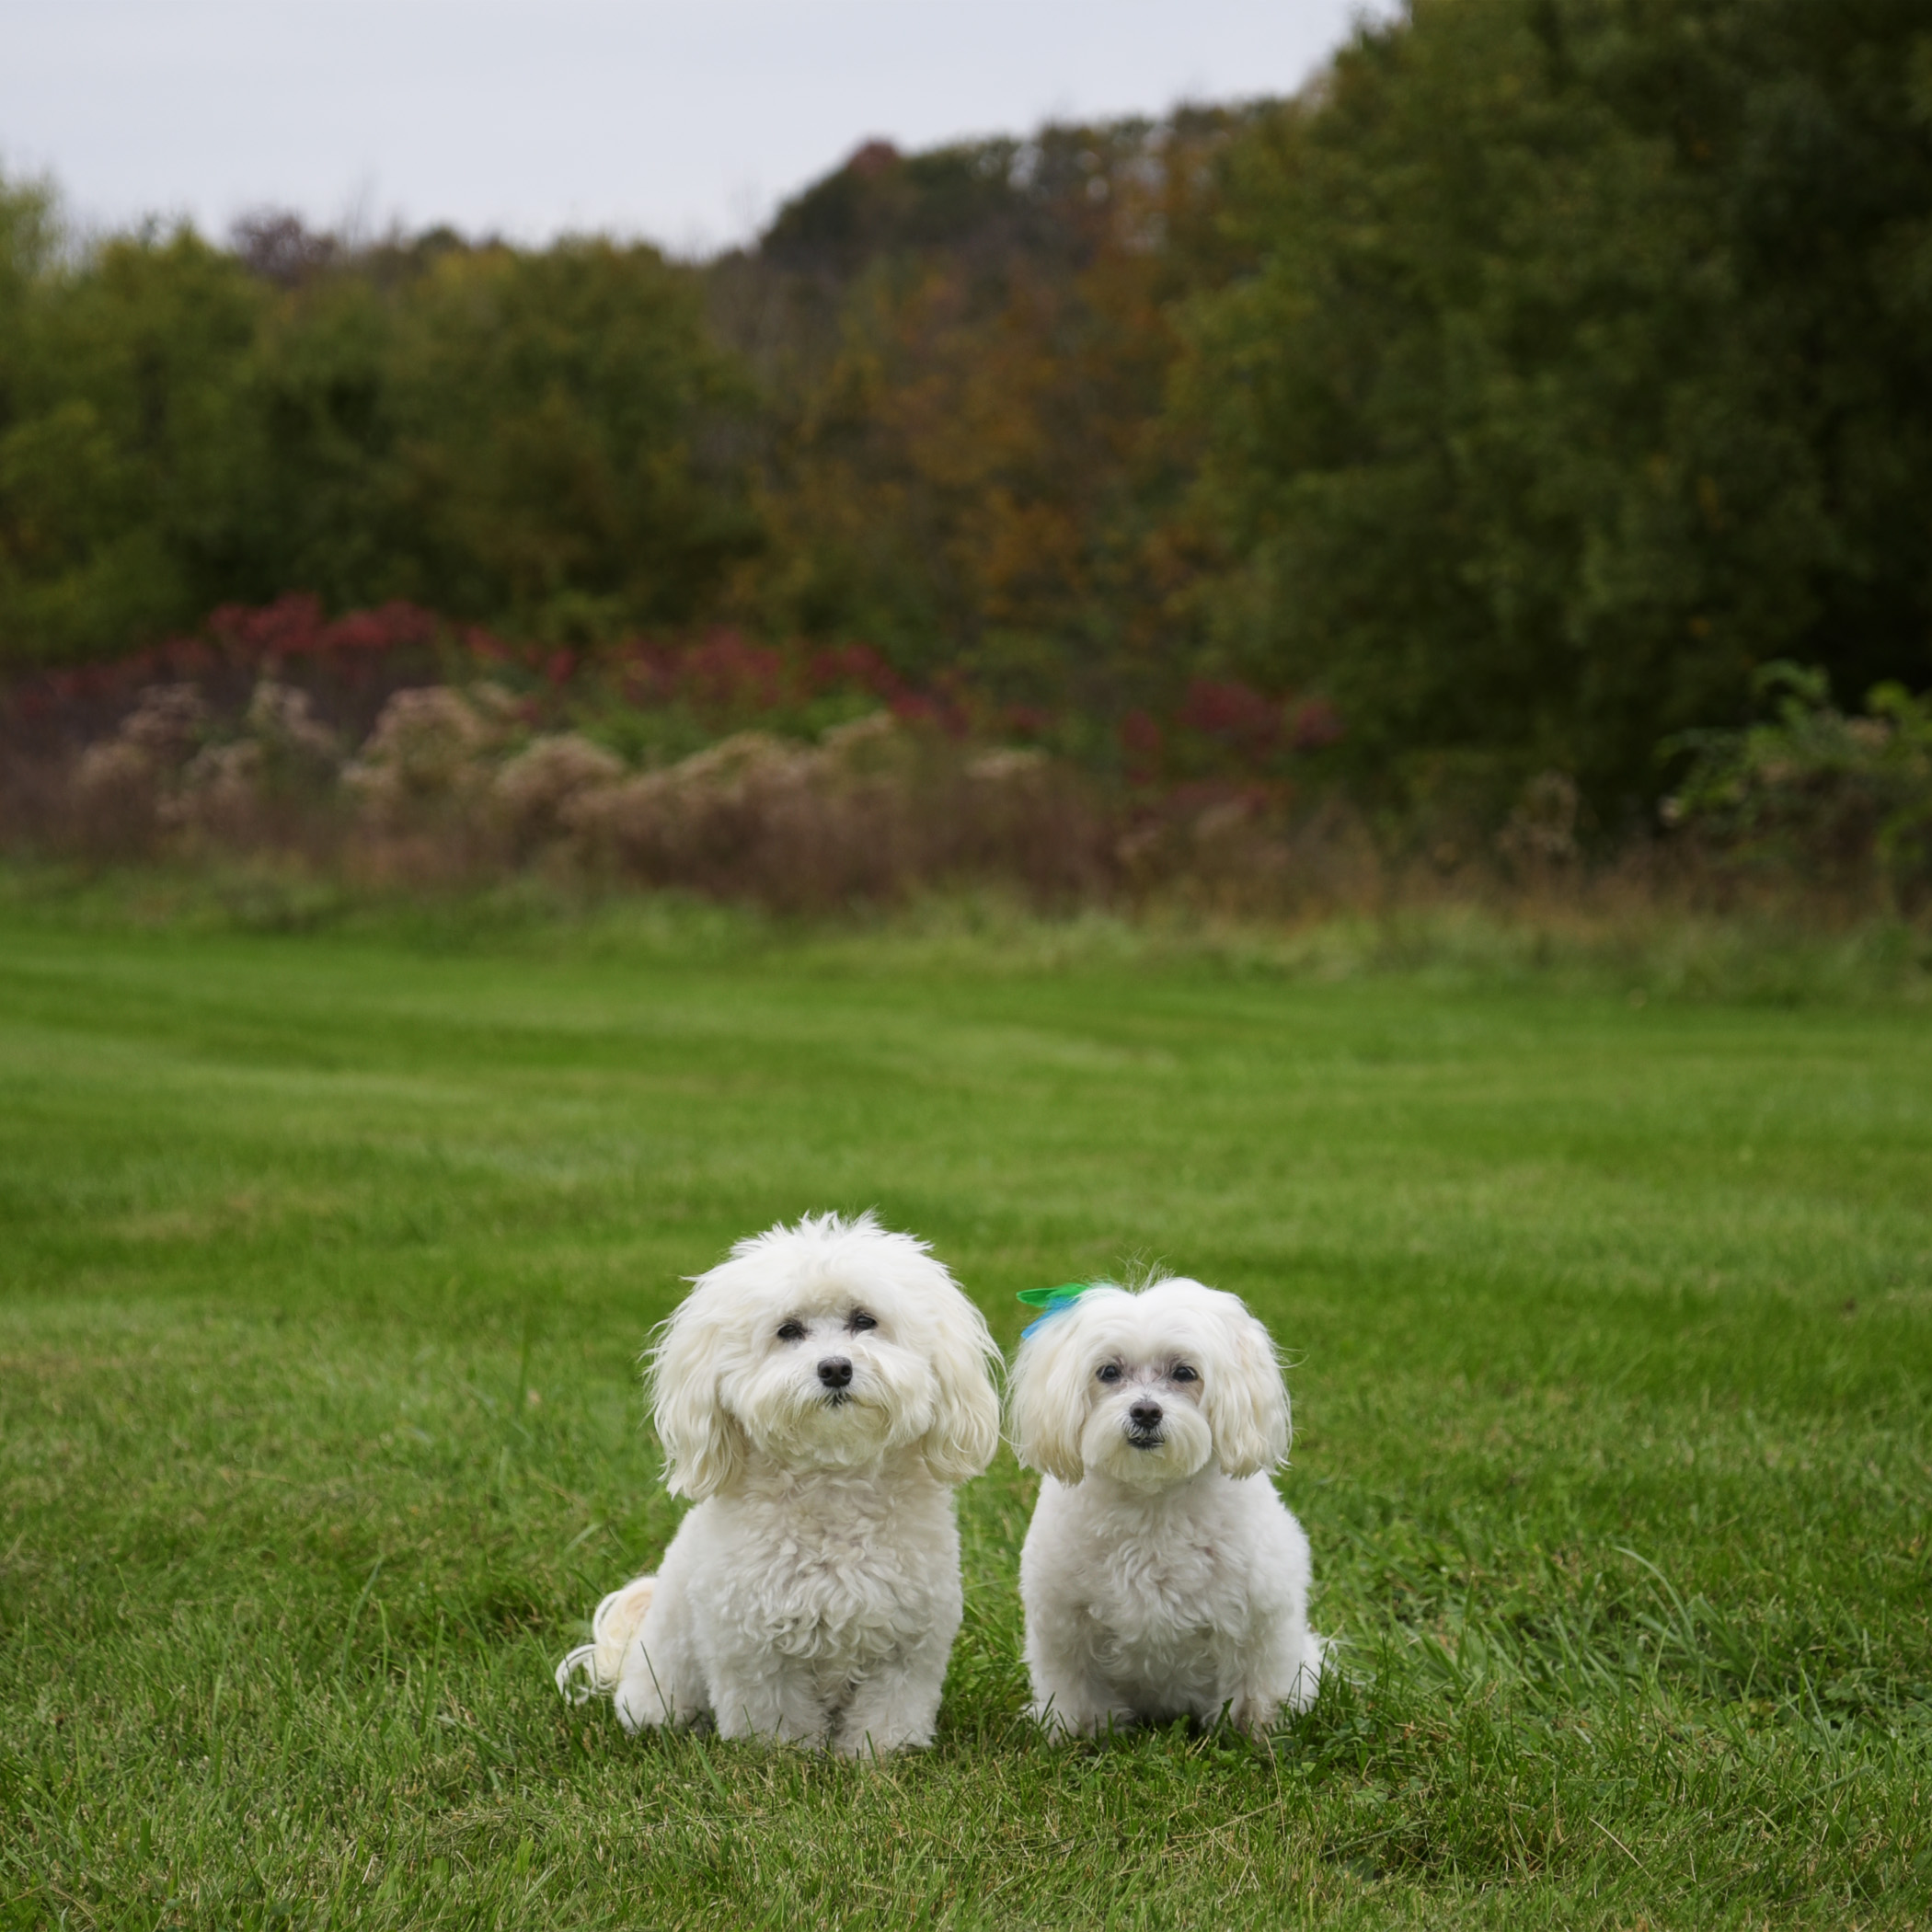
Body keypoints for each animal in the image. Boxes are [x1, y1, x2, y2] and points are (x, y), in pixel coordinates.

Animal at [548, 1213, 989, 1762]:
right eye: (789, 1331)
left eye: (865, 1321)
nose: (835, 1368)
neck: (833, 1486)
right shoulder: (754, 1650)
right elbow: (776, 1716)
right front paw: (786, 1756)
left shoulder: (907, 1646)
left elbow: (889, 1713)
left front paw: (878, 1756)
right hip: (661, 1687)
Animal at [1005, 1282, 1321, 1738]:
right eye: (1108, 1372)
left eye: (1185, 1373)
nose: (1146, 1411)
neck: (1151, 1501)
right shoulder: (1064, 1623)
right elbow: (1075, 1684)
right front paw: (1081, 1732)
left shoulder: (1260, 1622)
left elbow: (1254, 1686)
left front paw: (1252, 1731)